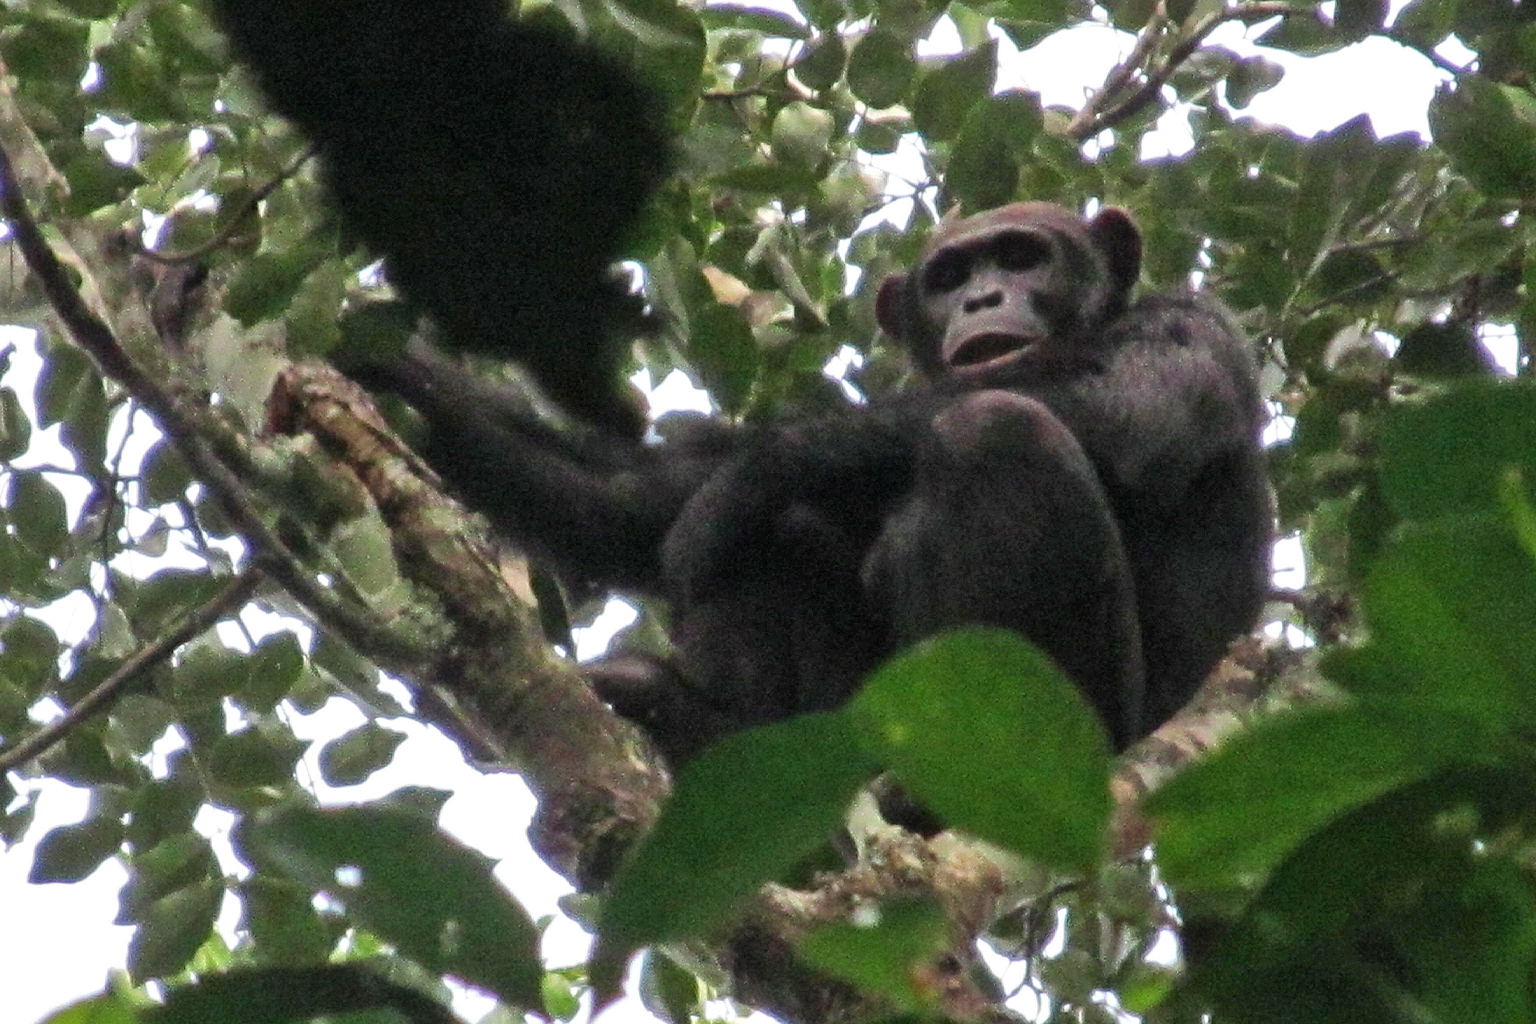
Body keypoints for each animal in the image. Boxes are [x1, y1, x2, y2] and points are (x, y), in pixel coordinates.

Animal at [362, 199, 1271, 773]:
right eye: (948, 277)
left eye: (1022, 256)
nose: (983, 297)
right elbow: (633, 507)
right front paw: (387, 364)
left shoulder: (1195, 325)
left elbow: (1126, 414)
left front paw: (758, 470)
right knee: (780, 538)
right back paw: (701, 727)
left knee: (997, 431)